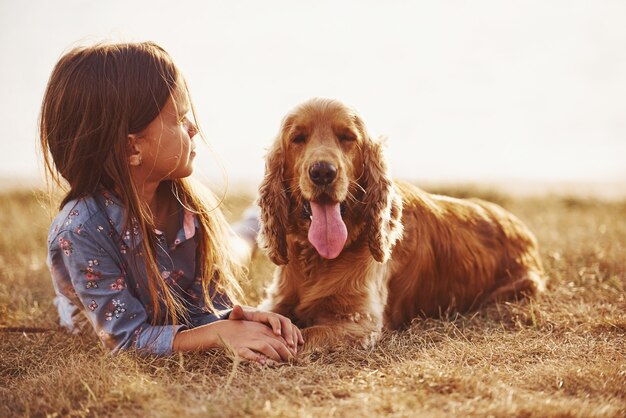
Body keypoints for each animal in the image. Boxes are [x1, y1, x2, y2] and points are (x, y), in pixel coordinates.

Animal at [256, 97, 544, 350]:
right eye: (298, 138)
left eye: (347, 137)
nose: (323, 172)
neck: (316, 260)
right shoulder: (276, 300)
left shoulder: (360, 324)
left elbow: (303, 338)